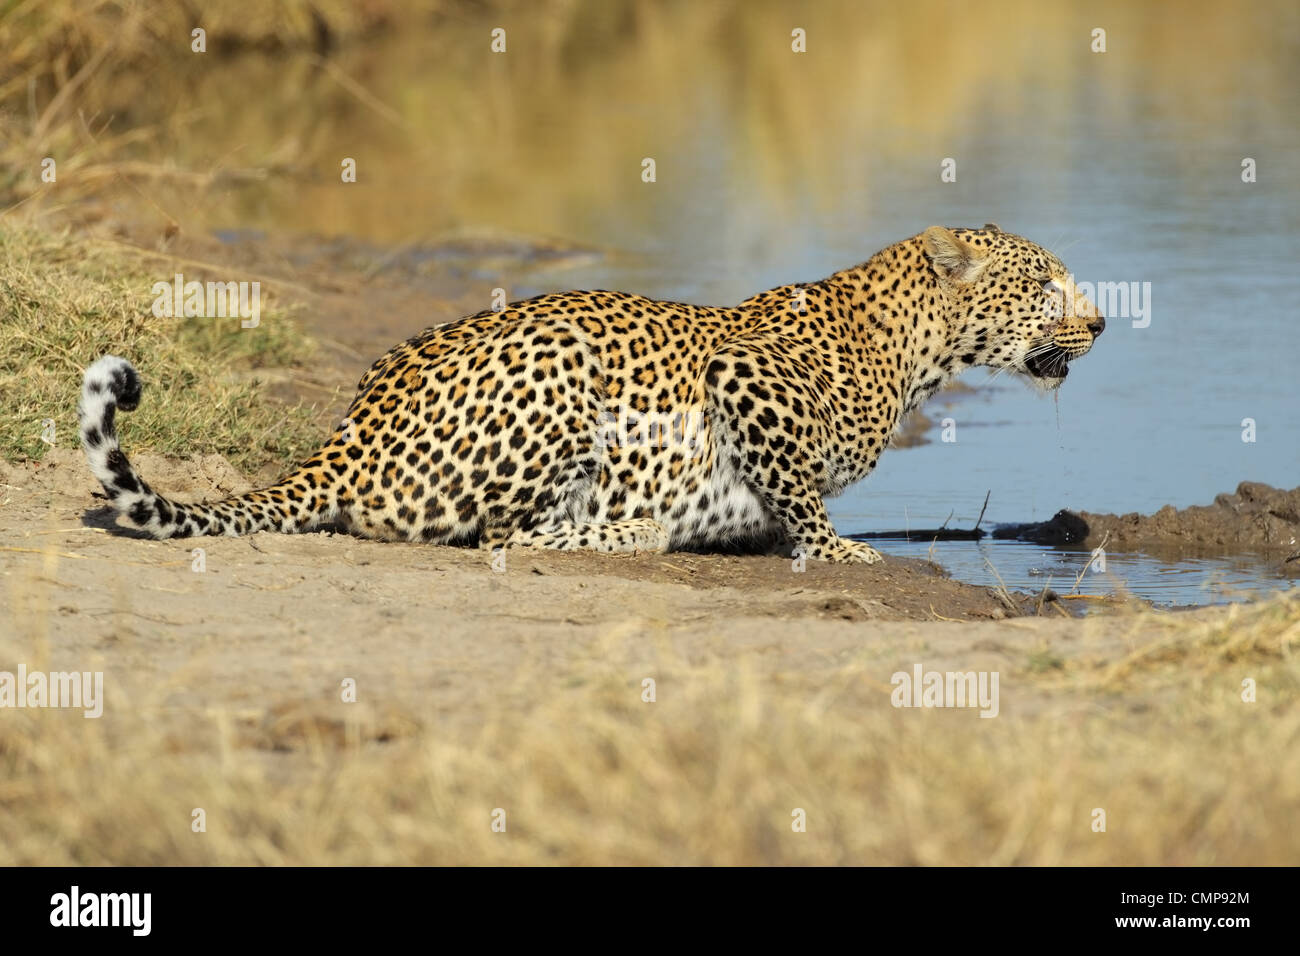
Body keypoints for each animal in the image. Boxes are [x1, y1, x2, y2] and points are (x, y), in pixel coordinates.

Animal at [78, 223, 1097, 564]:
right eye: (1046, 283)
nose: (1100, 324)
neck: (913, 351)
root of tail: (347, 437)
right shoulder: (743, 376)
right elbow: (800, 493)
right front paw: (838, 550)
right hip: (565, 377)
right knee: (504, 534)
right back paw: (637, 531)